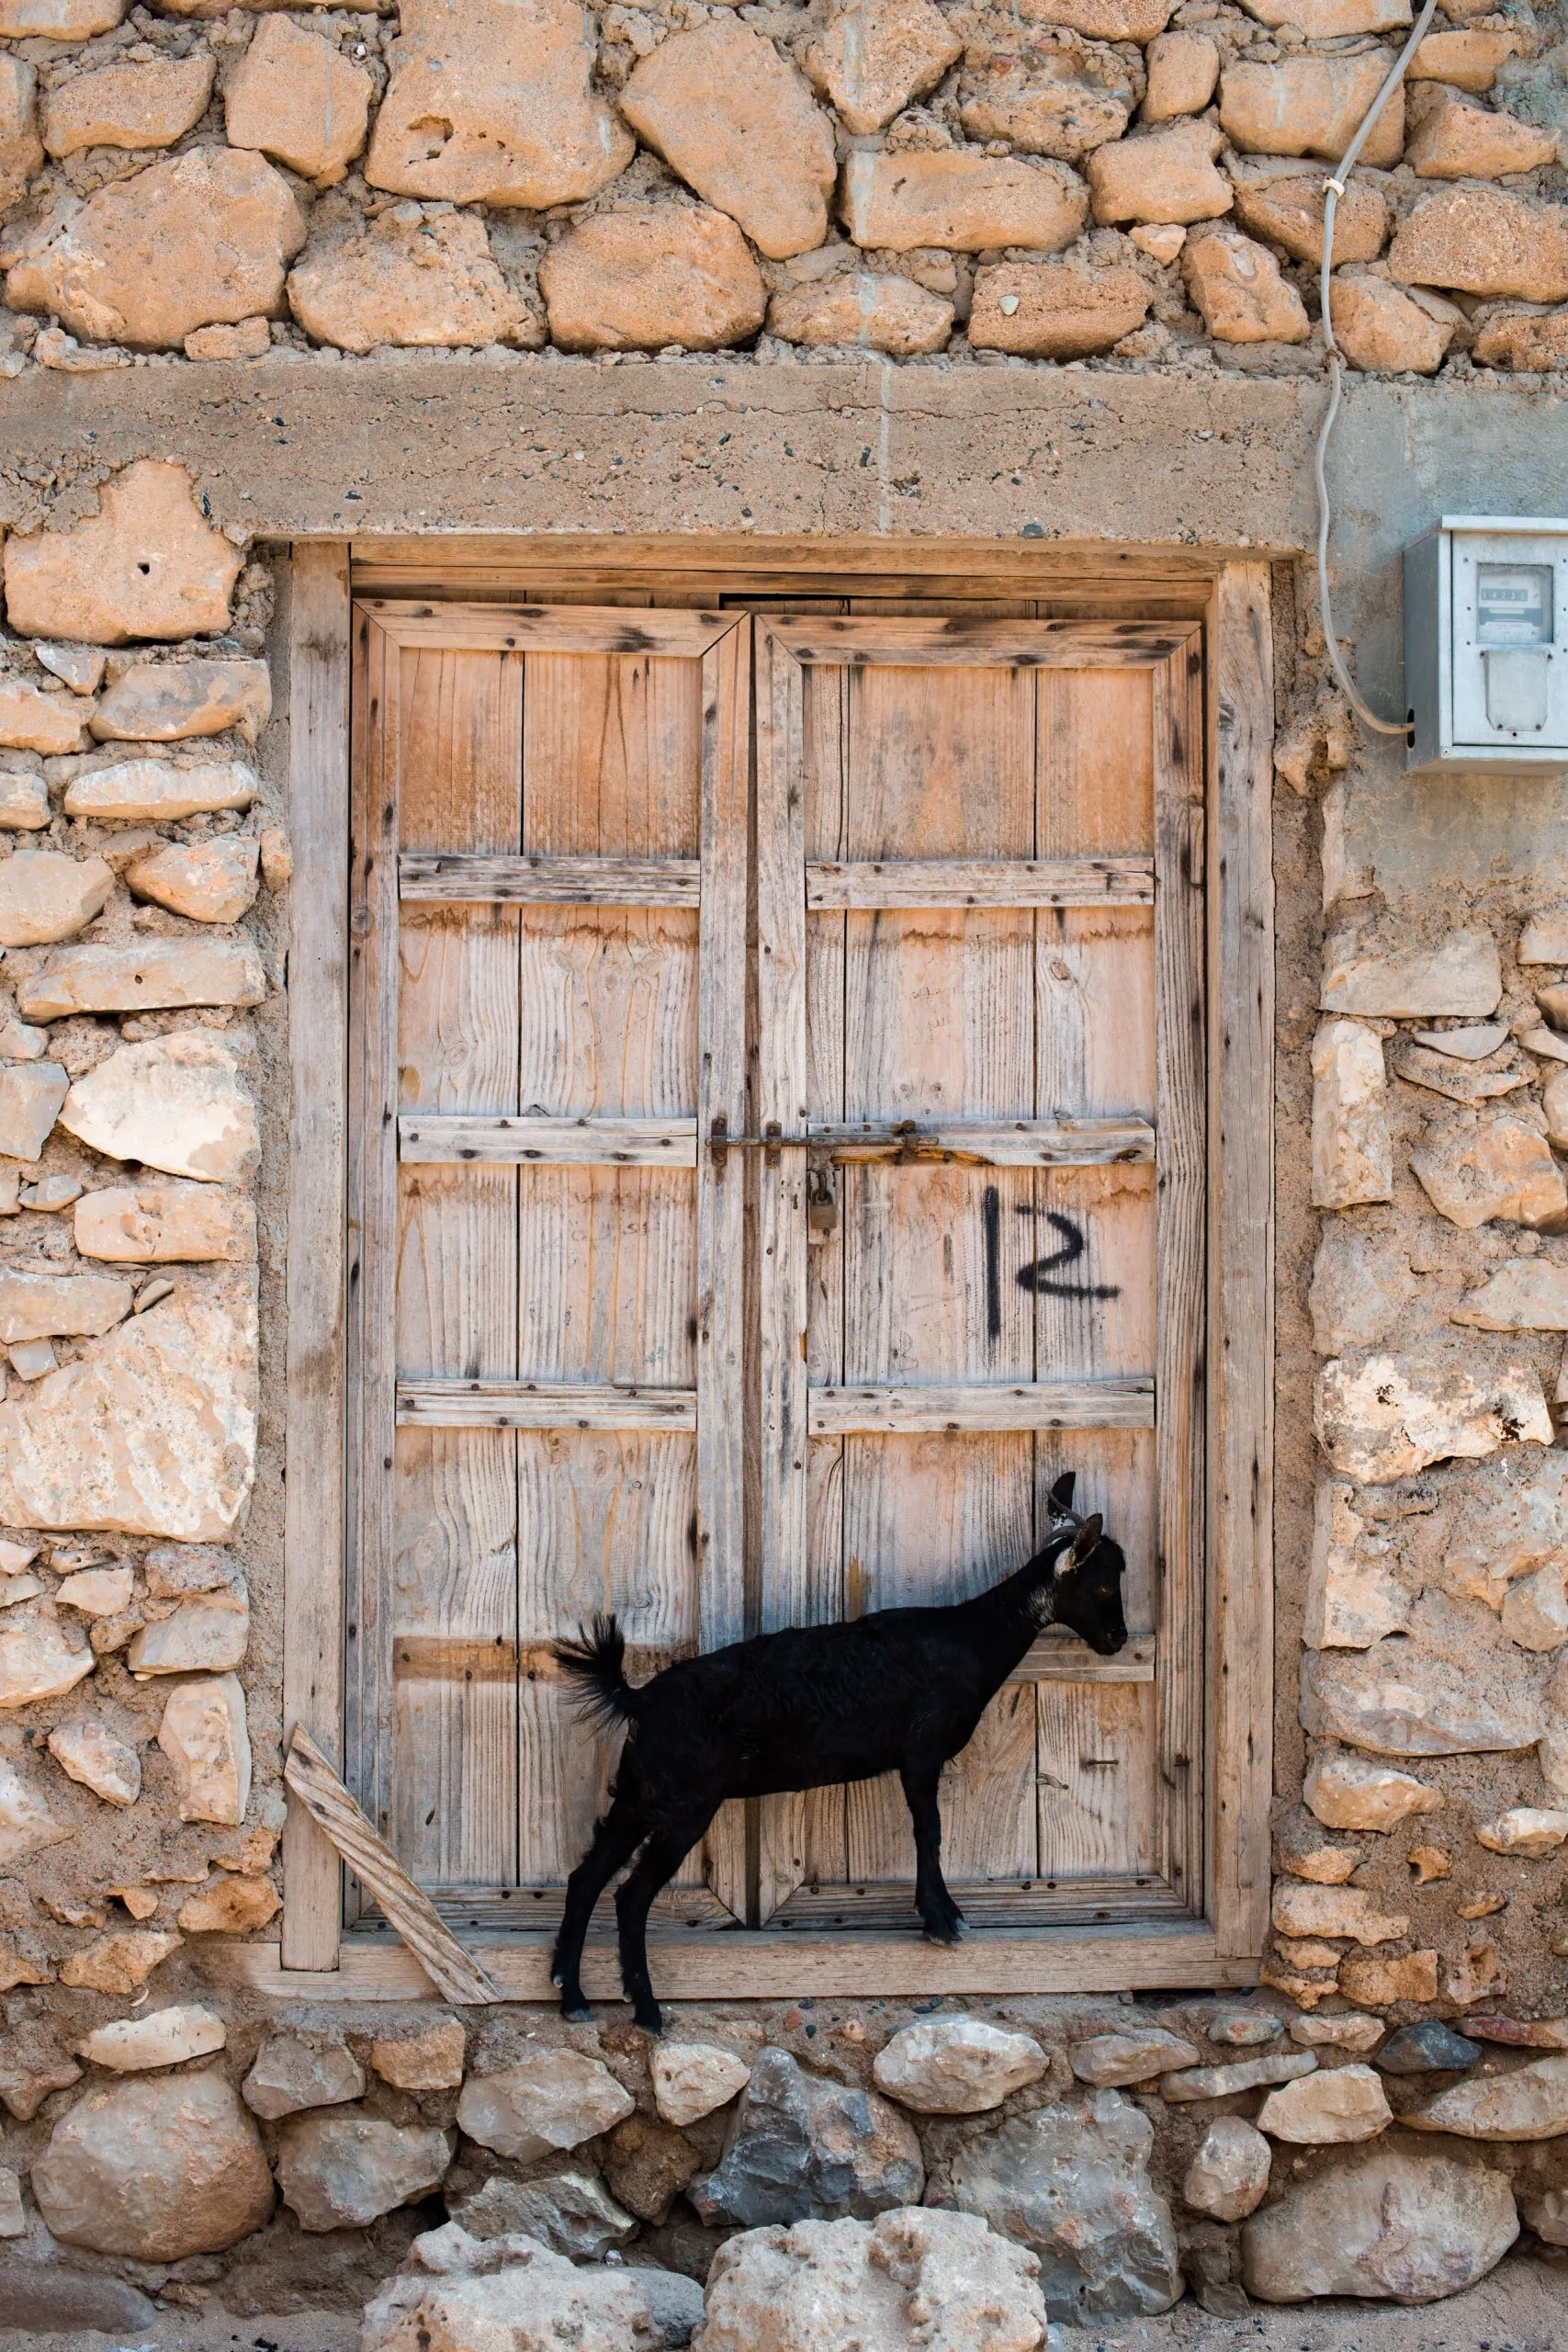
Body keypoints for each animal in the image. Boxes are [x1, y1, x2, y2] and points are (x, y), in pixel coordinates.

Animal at [549, 1471, 1127, 2032]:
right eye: (1103, 1581)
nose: (1119, 1638)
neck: (970, 1639)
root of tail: (639, 1699)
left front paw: (943, 1914)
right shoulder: (922, 1747)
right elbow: (929, 1830)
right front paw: (941, 1921)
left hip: (637, 1795)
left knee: (586, 1878)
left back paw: (572, 1995)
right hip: (683, 1806)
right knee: (630, 1895)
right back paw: (646, 2012)